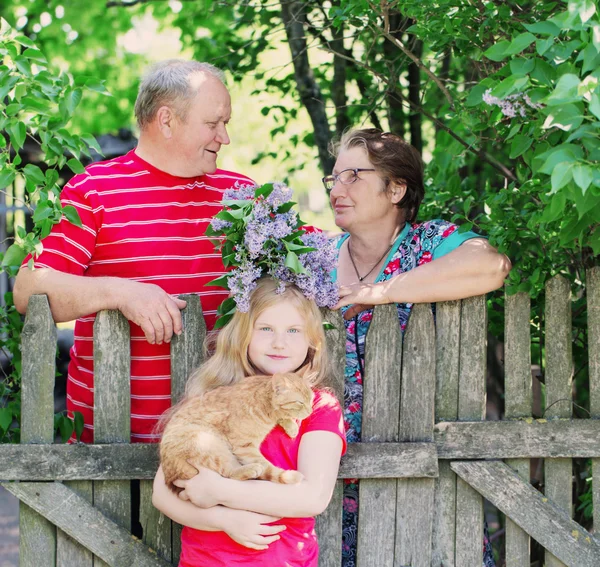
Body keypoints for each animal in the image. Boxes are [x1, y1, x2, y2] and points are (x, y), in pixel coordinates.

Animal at [162, 372, 316, 492]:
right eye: (300, 403)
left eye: (311, 399)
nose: (310, 411)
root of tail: (168, 473)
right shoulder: (245, 447)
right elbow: (267, 467)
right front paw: (286, 474)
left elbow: (283, 416)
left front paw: (291, 427)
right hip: (206, 442)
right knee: (228, 472)